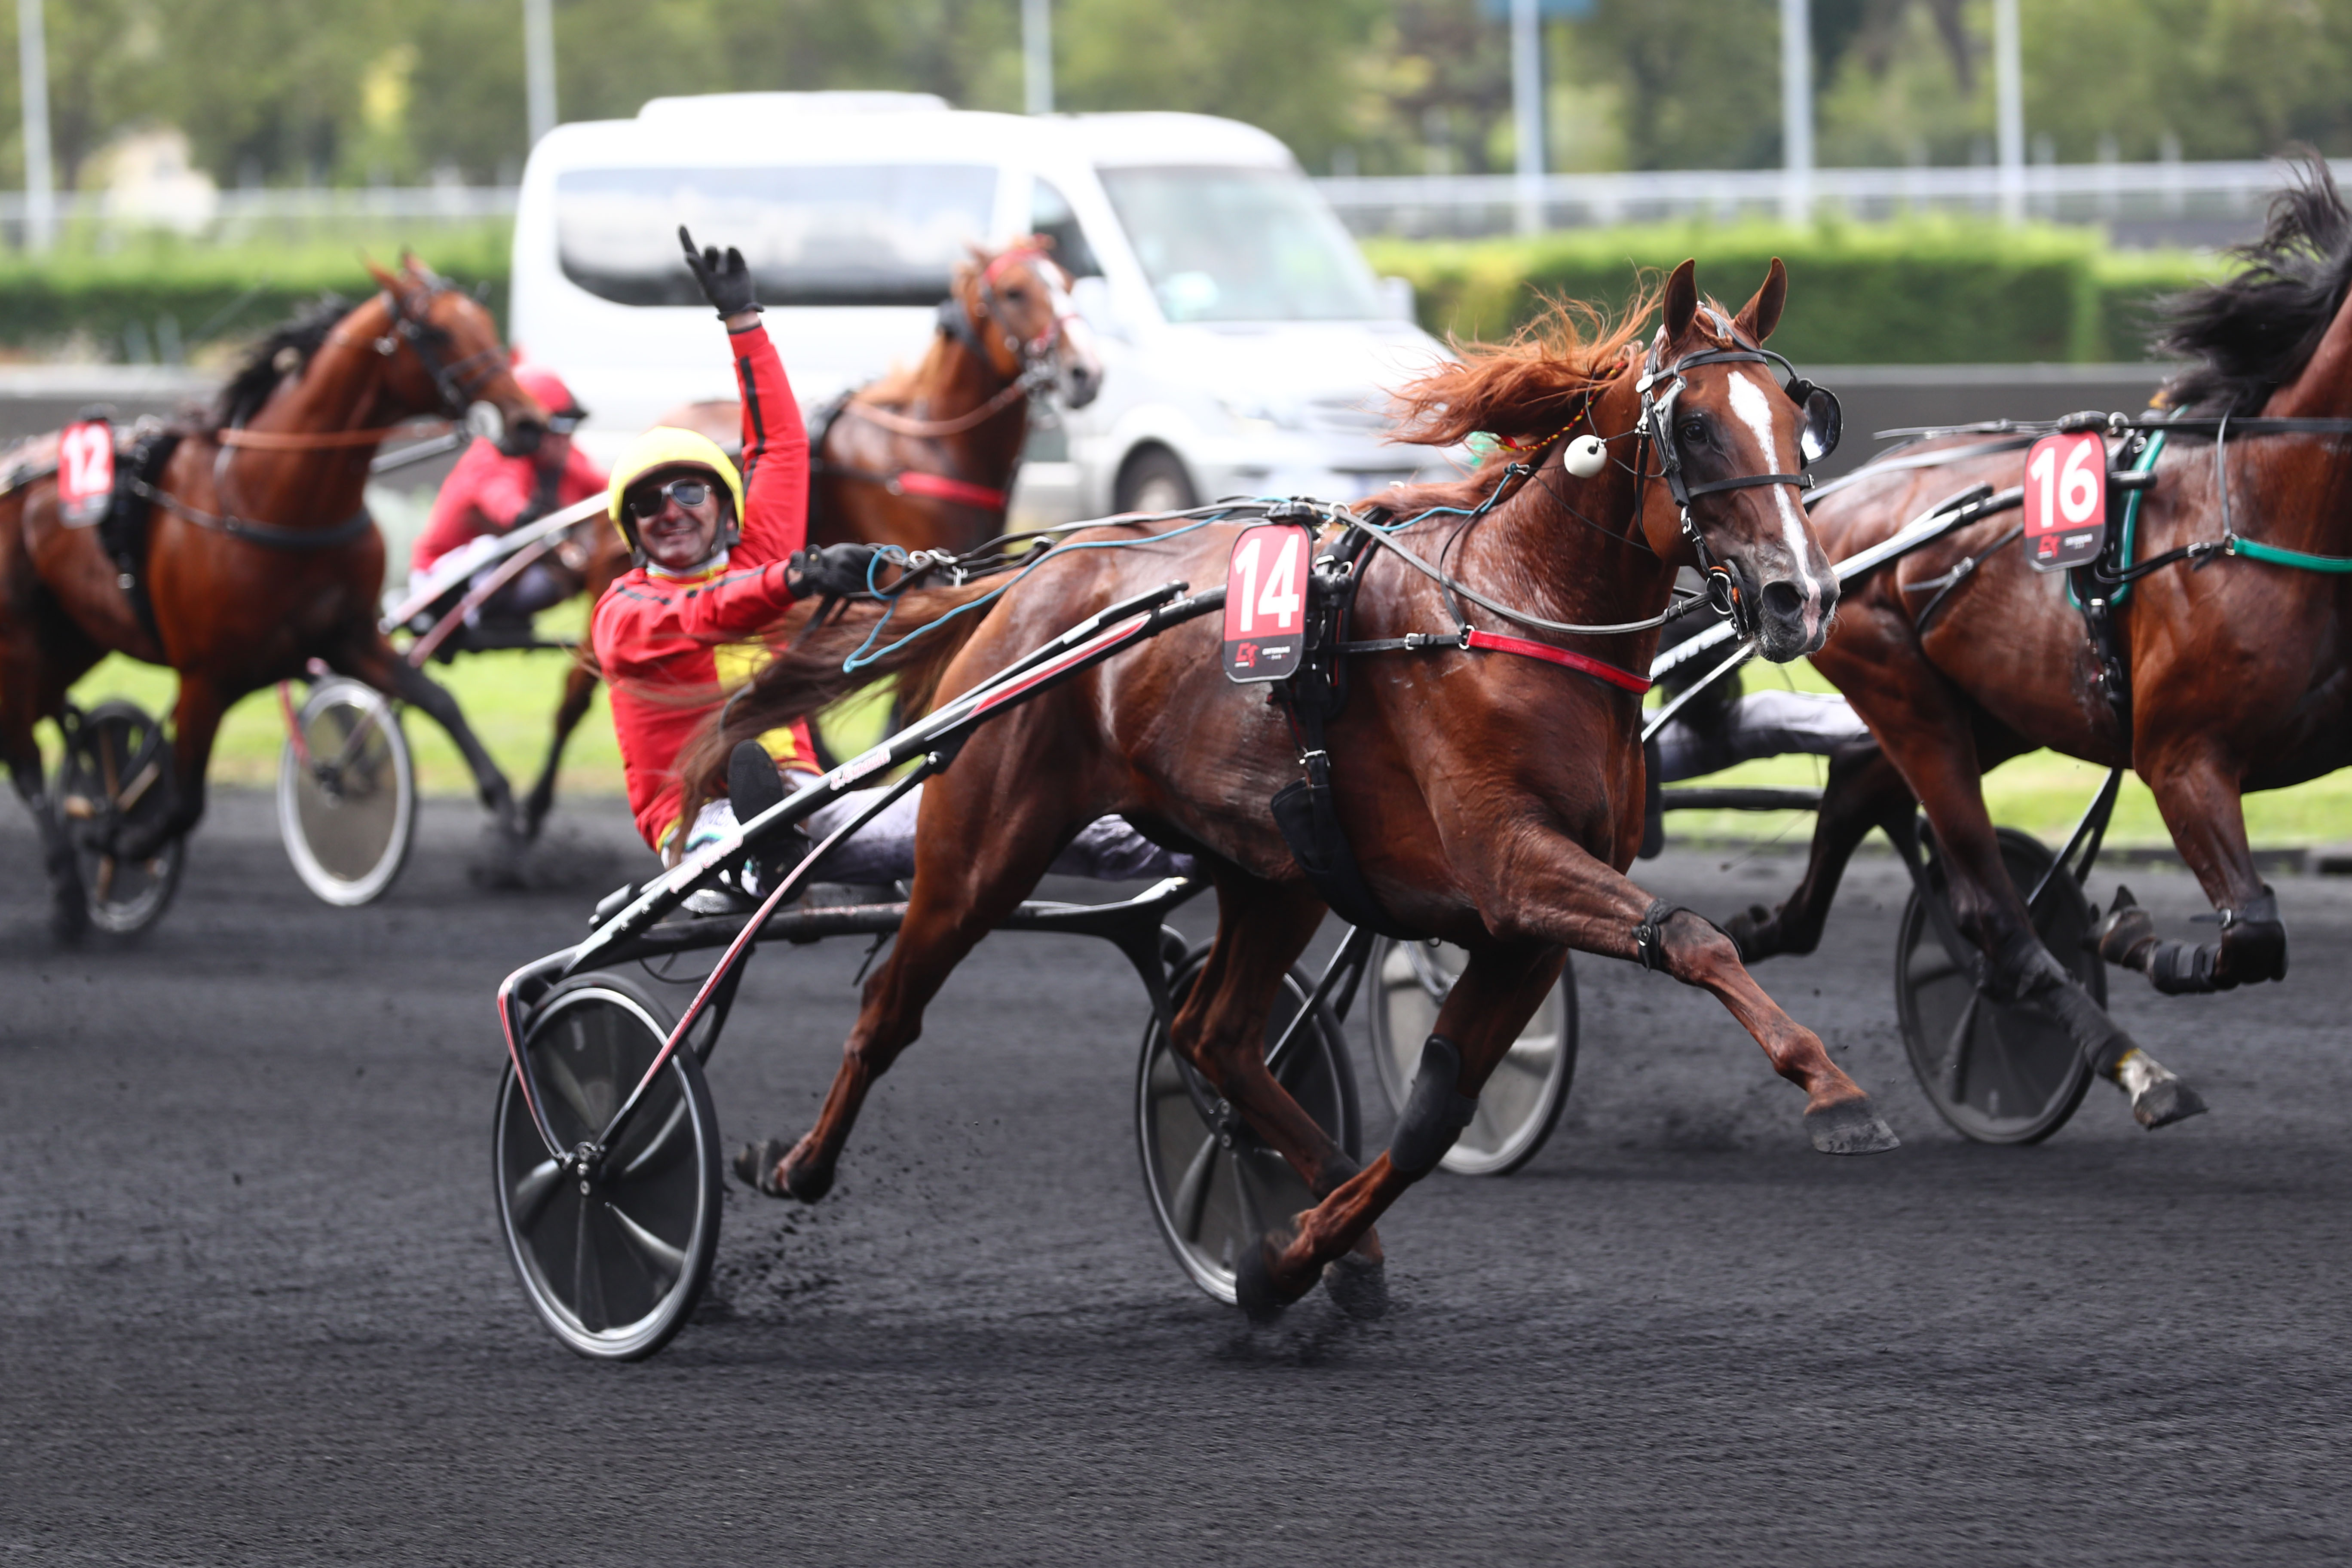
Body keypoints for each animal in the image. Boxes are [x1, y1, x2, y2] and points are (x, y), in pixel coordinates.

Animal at [3, 261, 550, 931]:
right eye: (438, 333)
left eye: (484, 324)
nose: (527, 421)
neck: (271, 495)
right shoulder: (204, 677)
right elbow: (184, 801)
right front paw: (122, 837)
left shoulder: (349, 640)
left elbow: (441, 703)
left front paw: (510, 823)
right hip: (20, 642)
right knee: (23, 755)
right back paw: (67, 892)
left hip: (71, 640)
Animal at [682, 263, 1891, 1316]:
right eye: (1696, 427)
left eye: (1801, 419)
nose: (1802, 594)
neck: (1512, 614)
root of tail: (1039, 577)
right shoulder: (1513, 868)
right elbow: (1690, 935)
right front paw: (1834, 1091)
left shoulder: (1529, 923)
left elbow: (1432, 1119)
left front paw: (1296, 1257)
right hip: (984, 842)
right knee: (892, 1004)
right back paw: (789, 1163)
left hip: (1277, 871)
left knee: (1214, 1035)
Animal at [1731, 159, 2352, 1128]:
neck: (2265, 510)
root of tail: (1837, 507)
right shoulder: (2181, 756)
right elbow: (2252, 931)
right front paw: (2131, 934)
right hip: (1906, 694)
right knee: (1989, 909)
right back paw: (2129, 1062)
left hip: (1989, 708)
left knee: (1856, 792)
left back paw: (1761, 929)